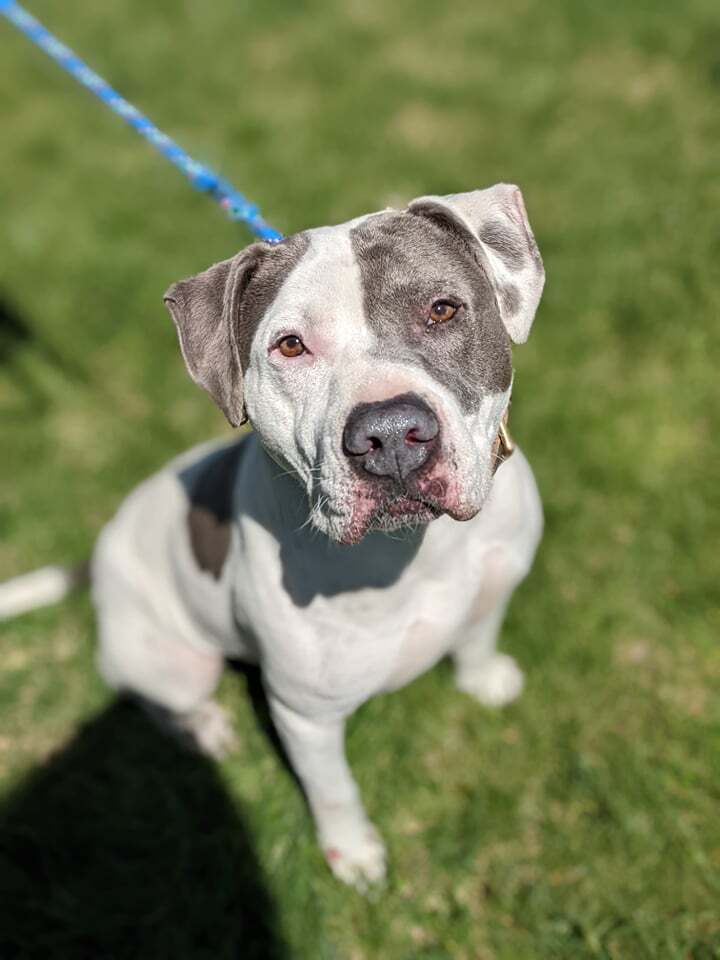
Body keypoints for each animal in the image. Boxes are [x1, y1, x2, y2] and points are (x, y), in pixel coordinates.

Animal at [0, 184, 544, 888]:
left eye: (443, 309)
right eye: (290, 347)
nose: (389, 434)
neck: (421, 550)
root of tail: (99, 553)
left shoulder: (496, 581)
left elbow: (478, 631)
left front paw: (483, 678)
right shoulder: (304, 716)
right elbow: (333, 788)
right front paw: (353, 853)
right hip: (171, 659)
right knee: (154, 697)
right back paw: (202, 727)